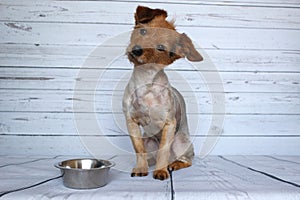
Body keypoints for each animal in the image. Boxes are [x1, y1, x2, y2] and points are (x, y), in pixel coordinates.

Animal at [122, 5, 204, 181]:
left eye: (161, 48)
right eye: (143, 31)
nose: (137, 50)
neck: (146, 83)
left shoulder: (169, 123)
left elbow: (163, 151)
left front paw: (161, 171)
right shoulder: (131, 122)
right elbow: (139, 150)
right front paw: (141, 168)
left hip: (180, 142)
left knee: (185, 160)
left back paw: (173, 165)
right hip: (148, 141)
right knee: (150, 155)